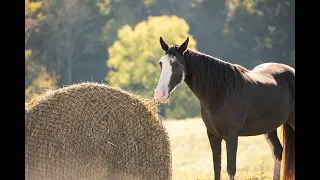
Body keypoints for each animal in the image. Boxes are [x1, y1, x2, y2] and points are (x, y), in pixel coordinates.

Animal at [154, 37, 294, 180]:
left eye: (175, 63)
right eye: (161, 63)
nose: (160, 94)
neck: (222, 93)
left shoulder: (231, 136)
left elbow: (230, 169)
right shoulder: (213, 135)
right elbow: (217, 168)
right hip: (269, 127)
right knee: (278, 151)